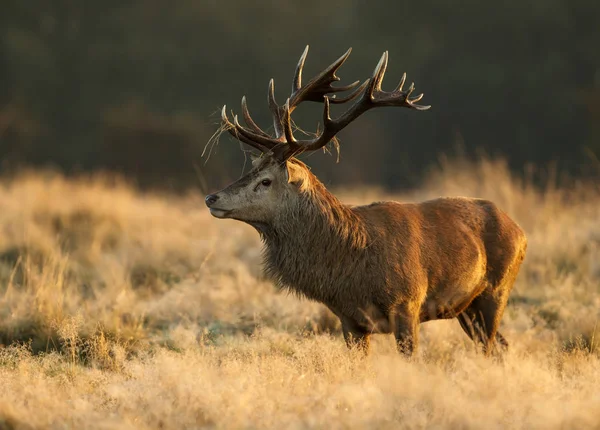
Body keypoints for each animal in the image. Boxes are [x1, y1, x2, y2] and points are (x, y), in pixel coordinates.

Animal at [205, 46, 524, 356]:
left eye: (266, 180)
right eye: (250, 170)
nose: (211, 197)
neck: (352, 269)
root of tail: (520, 231)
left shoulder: (407, 303)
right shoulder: (349, 320)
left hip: (495, 291)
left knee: (492, 345)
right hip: (466, 308)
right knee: (501, 346)